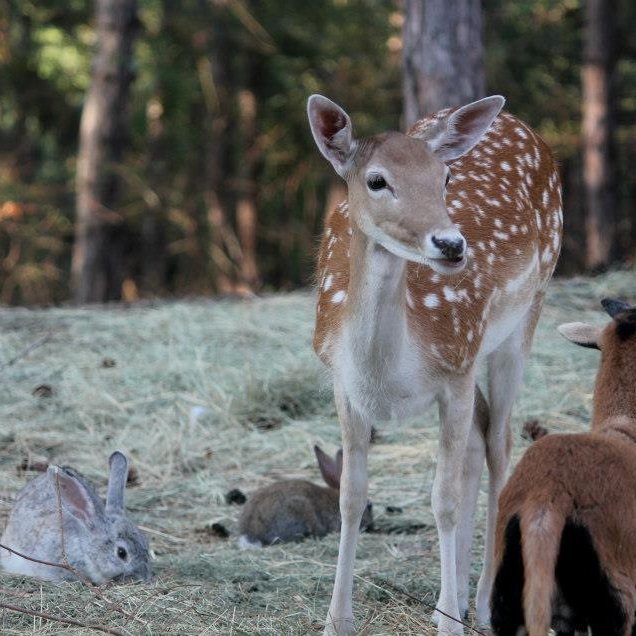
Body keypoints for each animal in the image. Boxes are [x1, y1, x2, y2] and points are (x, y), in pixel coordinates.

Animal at [308, 95, 560, 636]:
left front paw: (448, 624)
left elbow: (443, 499)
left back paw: (480, 603)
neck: (387, 372)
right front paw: (337, 618)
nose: (451, 245)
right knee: (477, 442)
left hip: (524, 316)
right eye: (376, 180)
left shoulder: (456, 370)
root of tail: (521, 125)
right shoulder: (342, 382)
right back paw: (459, 596)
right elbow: (351, 496)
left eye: (444, 177)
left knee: (500, 444)